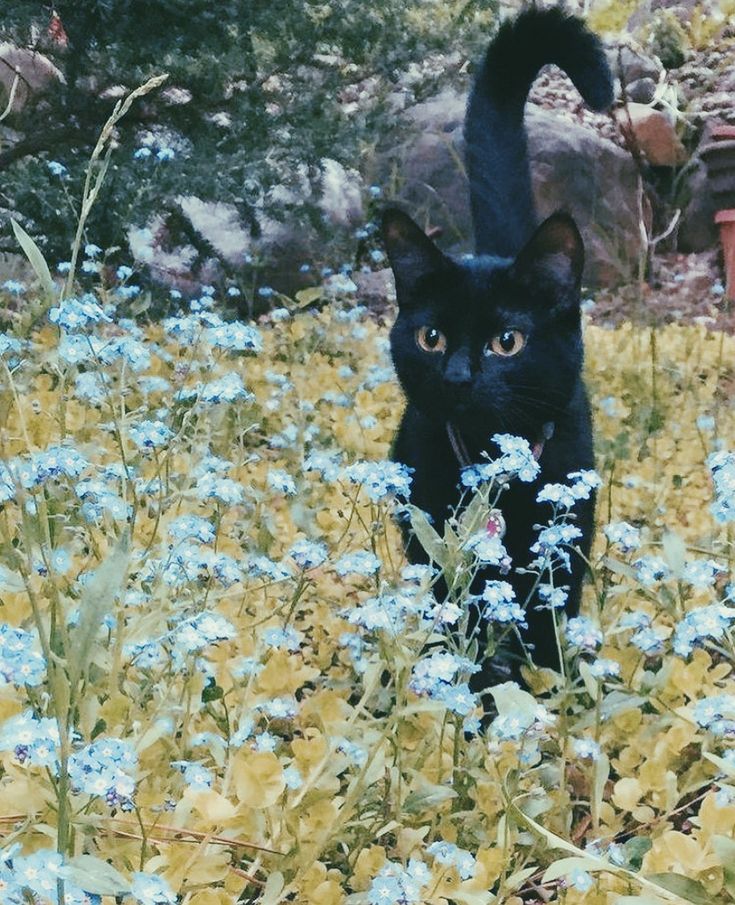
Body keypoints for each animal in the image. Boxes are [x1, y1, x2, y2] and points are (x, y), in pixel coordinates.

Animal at [386, 7, 616, 692]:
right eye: (431, 337)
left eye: (506, 342)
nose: (459, 377)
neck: (494, 473)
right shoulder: (430, 542)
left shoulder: (564, 547)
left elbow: (541, 635)